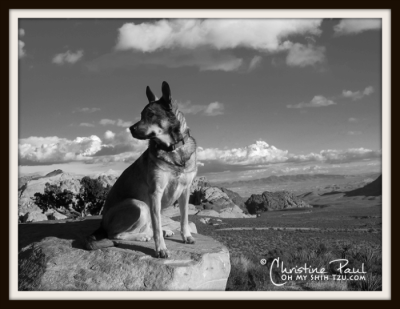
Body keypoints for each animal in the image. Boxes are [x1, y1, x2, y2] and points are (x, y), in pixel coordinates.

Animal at [84, 80, 197, 256]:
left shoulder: (185, 190)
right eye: (141, 115)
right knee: (116, 235)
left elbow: (184, 218)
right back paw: (143, 236)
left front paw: (186, 236)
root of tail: (102, 224)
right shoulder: (155, 192)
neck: (172, 149)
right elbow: (157, 226)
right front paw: (161, 248)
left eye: (151, 115)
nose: (130, 128)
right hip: (139, 205)